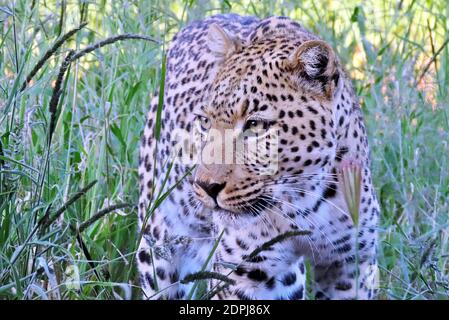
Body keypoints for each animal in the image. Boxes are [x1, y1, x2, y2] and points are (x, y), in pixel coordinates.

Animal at [136, 13, 378, 302]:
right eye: (205, 122)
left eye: (255, 125)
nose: (206, 186)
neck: (303, 198)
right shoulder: (243, 275)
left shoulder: (351, 265)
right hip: (159, 241)